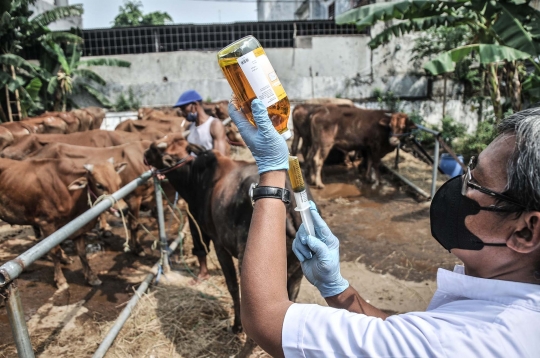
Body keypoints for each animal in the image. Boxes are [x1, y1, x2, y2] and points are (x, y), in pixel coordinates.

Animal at [0, 157, 128, 288]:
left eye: (119, 182)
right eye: (99, 185)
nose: (123, 209)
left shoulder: (76, 227)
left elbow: (82, 252)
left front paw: (92, 277)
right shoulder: (46, 224)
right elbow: (54, 251)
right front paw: (61, 281)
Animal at [143, 133, 304, 334]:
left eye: (155, 149)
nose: (145, 154)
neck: (196, 178)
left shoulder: (219, 244)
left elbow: (233, 287)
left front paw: (237, 325)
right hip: (297, 271)